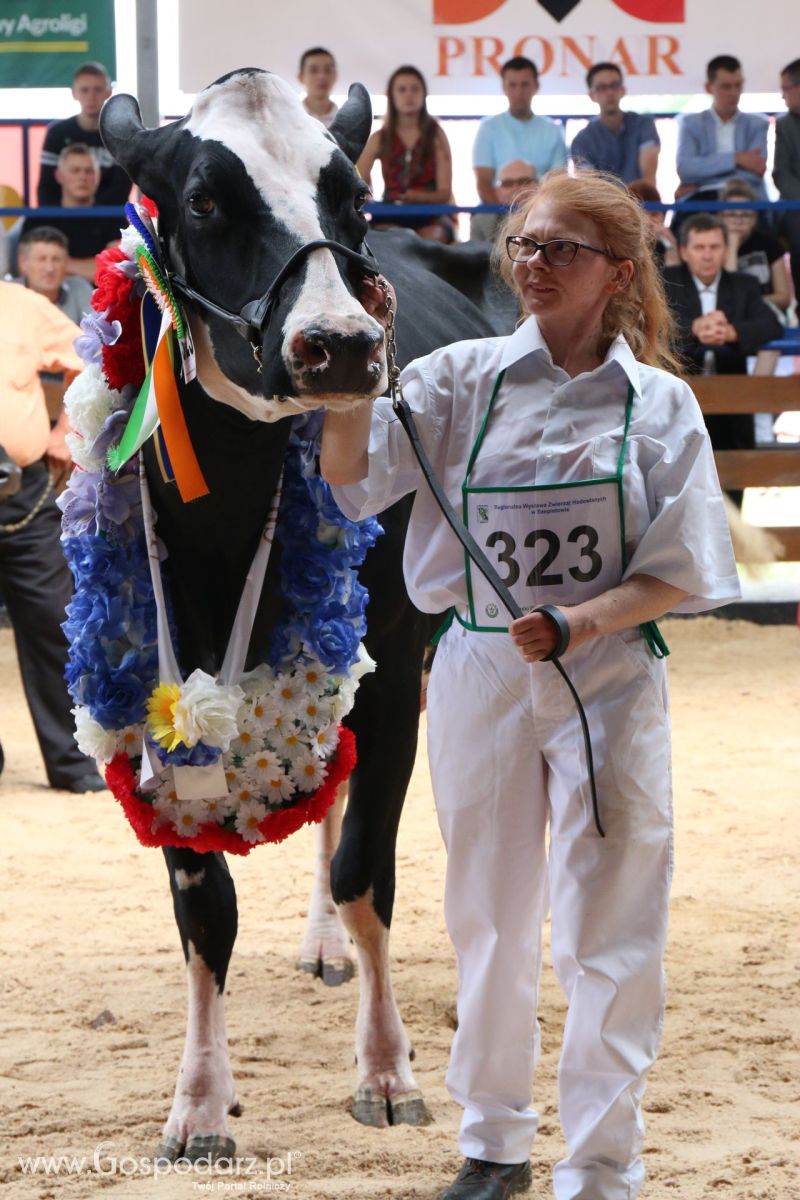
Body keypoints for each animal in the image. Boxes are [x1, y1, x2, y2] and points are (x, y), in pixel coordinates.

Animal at [100, 70, 513, 1156]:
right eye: (204, 200)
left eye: (353, 197)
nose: (341, 346)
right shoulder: (160, 689)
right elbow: (203, 906)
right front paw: (201, 1102)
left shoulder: (393, 665)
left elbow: (371, 869)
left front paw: (386, 1071)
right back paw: (322, 946)